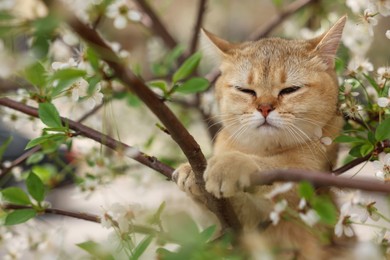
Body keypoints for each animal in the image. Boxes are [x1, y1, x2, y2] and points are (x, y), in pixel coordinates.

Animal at [172, 16, 354, 260]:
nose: (265, 108)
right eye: (245, 90)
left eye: (290, 90)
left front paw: (231, 165)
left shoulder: (308, 178)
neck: (263, 148)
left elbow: (275, 167)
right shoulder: (235, 229)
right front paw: (193, 172)